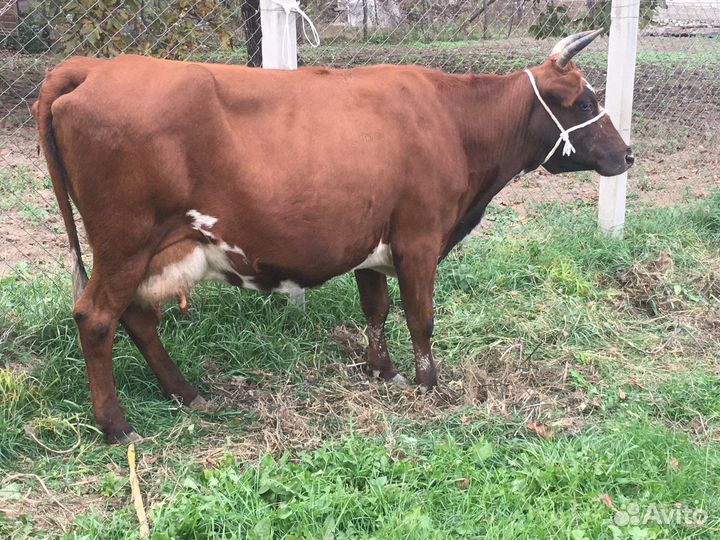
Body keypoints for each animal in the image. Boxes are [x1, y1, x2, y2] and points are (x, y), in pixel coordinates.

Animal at [34, 30, 633, 443]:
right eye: (584, 102)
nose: (628, 155)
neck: (454, 121)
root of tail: (96, 67)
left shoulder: (372, 244)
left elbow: (376, 309)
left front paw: (383, 372)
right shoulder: (420, 239)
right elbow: (420, 315)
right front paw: (429, 384)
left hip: (143, 250)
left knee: (136, 317)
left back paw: (186, 394)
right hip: (125, 243)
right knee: (97, 317)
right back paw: (116, 427)